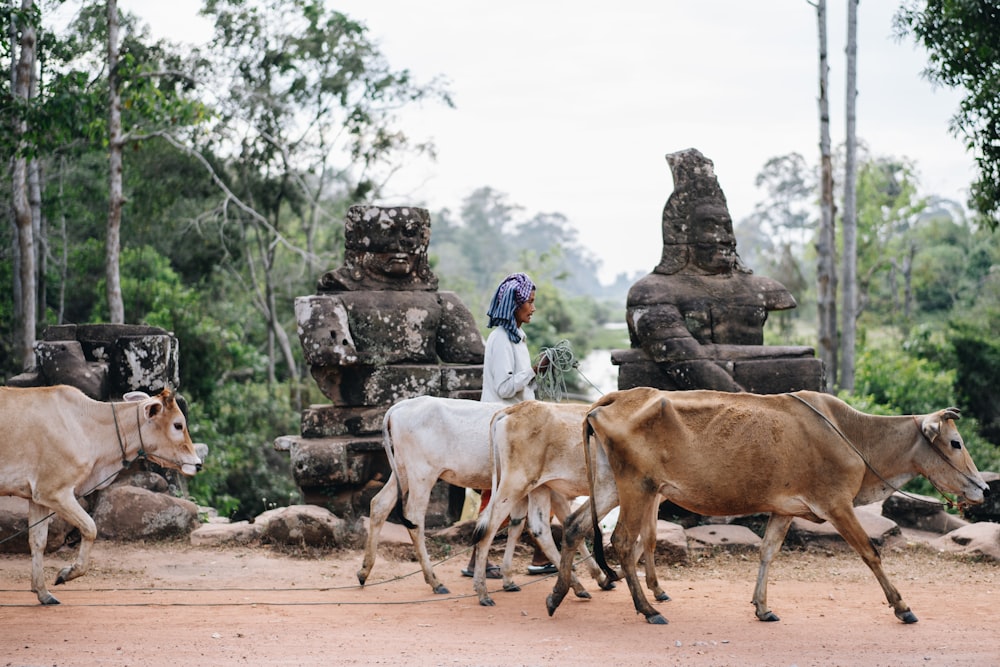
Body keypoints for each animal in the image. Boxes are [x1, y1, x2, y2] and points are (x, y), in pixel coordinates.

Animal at [0, 386, 203, 604]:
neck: (85, 426)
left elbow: (38, 542)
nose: (198, 464)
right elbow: (90, 528)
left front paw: (43, 593)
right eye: (178, 425)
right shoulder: (55, 492)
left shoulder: (38, 498)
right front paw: (66, 574)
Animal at [552, 386, 988, 628]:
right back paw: (647, 609)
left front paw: (762, 607)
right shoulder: (837, 504)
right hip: (638, 487)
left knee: (574, 526)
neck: (854, 436)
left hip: (611, 484)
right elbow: (871, 553)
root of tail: (613, 399)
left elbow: (767, 553)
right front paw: (902, 607)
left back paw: (558, 595)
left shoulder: (784, 509)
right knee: (624, 543)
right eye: (955, 443)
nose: (983, 488)